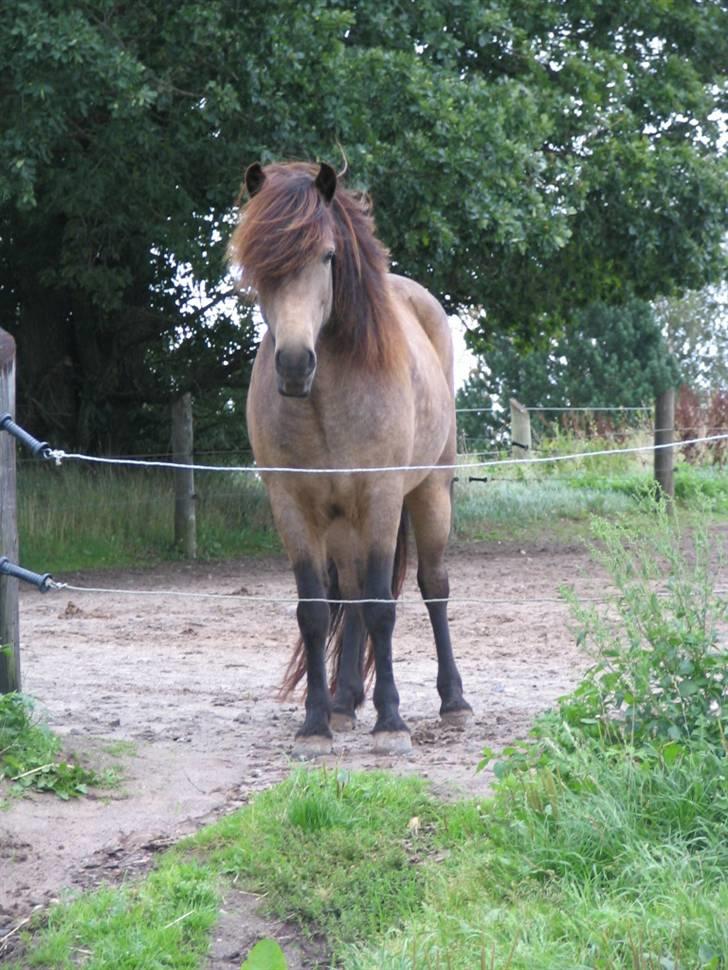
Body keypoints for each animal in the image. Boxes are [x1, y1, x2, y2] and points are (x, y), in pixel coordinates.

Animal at [230, 161, 474, 756]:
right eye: (259, 264)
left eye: (327, 256)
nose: (295, 364)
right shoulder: (292, 505)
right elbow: (317, 612)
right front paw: (316, 725)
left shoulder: (381, 497)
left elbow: (383, 609)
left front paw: (391, 724)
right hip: (343, 522)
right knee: (352, 594)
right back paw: (343, 703)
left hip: (429, 493)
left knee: (432, 587)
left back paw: (453, 702)